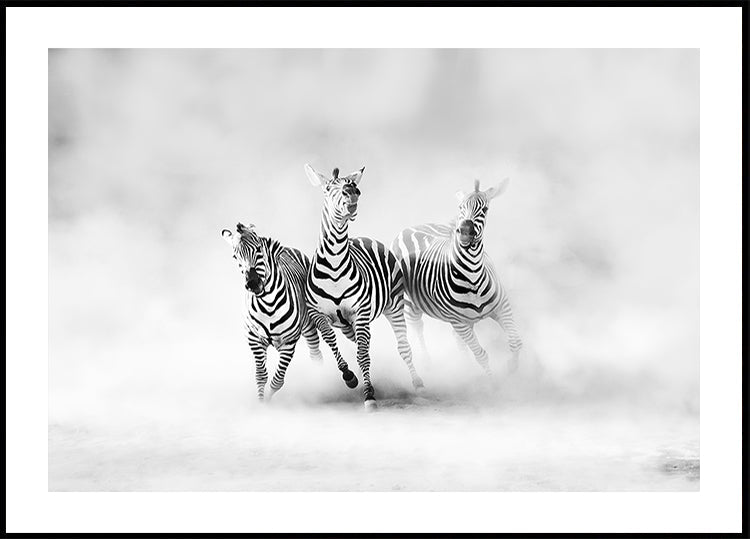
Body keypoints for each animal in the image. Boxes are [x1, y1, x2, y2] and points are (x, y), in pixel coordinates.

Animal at [221, 222, 326, 402]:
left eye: (258, 249)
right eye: (235, 257)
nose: (253, 284)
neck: (268, 304)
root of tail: (288, 248)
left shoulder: (289, 341)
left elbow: (278, 380)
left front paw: (268, 400)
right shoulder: (254, 339)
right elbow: (261, 375)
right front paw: (261, 402)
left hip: (308, 326)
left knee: (316, 354)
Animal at [304, 164, 423, 410]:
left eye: (353, 185)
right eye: (328, 188)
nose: (352, 193)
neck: (334, 265)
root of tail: (365, 237)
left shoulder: (360, 312)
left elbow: (362, 354)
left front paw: (369, 394)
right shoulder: (319, 314)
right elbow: (332, 342)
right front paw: (350, 377)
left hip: (393, 306)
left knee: (402, 346)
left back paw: (417, 383)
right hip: (347, 324)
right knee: (360, 343)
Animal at [392, 179, 523, 375]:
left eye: (485, 209)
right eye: (461, 207)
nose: (465, 231)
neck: (473, 275)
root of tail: (412, 227)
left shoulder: (502, 307)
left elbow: (515, 342)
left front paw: (513, 368)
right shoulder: (458, 321)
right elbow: (481, 355)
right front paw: (493, 382)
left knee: (457, 340)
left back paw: (465, 366)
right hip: (410, 304)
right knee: (417, 327)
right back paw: (428, 363)